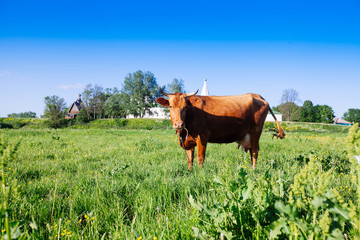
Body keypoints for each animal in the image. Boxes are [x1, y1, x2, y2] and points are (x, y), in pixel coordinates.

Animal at [156, 89, 286, 170]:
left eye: (185, 107)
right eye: (170, 106)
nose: (179, 124)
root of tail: (256, 95)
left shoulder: (203, 136)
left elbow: (200, 158)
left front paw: (200, 174)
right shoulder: (188, 141)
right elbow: (190, 159)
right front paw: (190, 172)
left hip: (256, 132)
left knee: (254, 152)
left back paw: (253, 171)